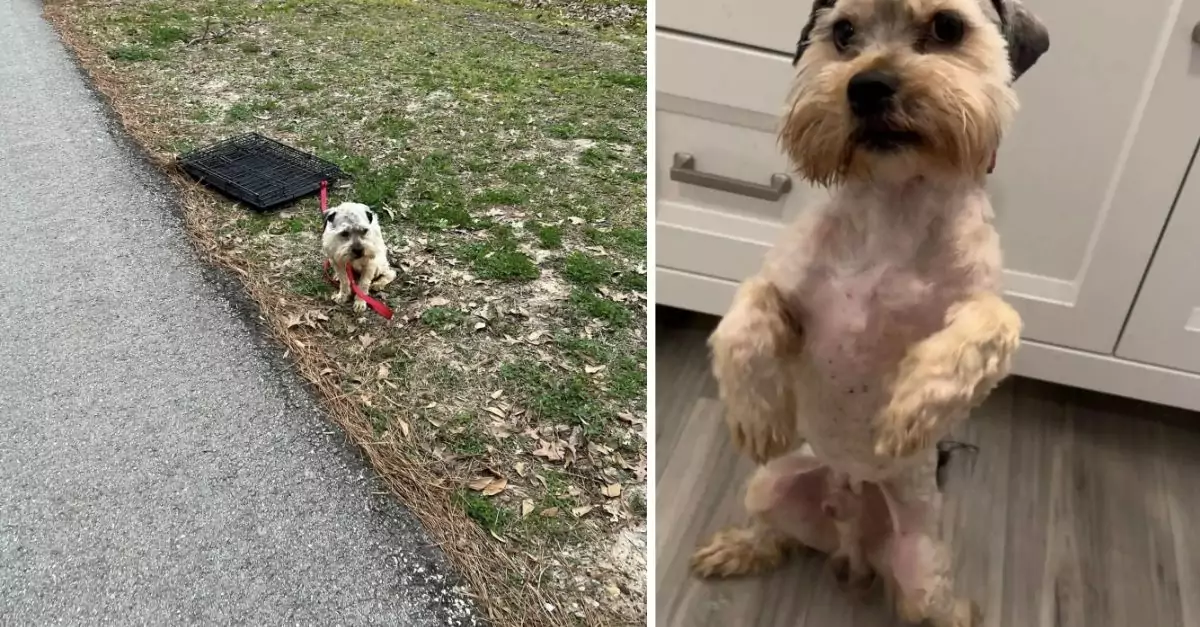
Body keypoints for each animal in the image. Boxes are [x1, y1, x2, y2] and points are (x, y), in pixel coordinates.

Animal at [691, 1, 1046, 624]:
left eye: (947, 28)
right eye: (842, 33)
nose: (867, 86)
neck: (893, 200)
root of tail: (850, 531)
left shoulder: (975, 307)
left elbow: (991, 328)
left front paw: (910, 411)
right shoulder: (784, 292)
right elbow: (743, 321)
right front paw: (758, 416)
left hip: (920, 564)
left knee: (930, 602)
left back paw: (959, 610)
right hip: (772, 484)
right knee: (772, 535)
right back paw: (736, 548)